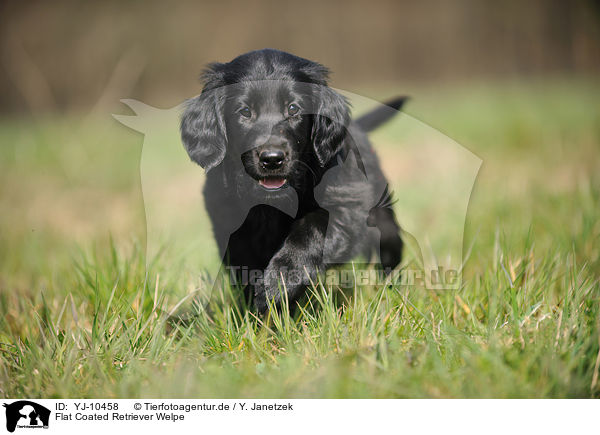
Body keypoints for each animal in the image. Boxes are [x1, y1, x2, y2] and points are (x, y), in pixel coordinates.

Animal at [178, 48, 404, 314]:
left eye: (294, 108)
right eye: (244, 112)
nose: (272, 159)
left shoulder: (345, 204)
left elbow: (312, 230)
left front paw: (279, 282)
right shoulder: (227, 221)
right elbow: (243, 263)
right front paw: (258, 312)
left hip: (384, 224)